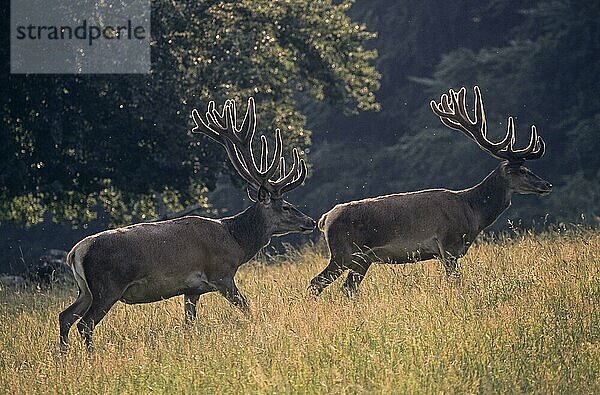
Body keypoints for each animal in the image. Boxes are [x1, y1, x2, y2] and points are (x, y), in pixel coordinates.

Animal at [58, 97, 316, 352]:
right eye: (286, 206)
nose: (311, 221)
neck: (236, 241)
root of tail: (75, 252)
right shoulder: (221, 274)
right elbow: (246, 307)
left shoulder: (192, 289)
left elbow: (189, 322)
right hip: (108, 286)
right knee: (85, 323)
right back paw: (89, 355)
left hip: (86, 290)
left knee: (65, 316)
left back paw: (64, 355)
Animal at [310, 87, 552, 296]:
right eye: (521, 170)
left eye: (530, 169)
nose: (546, 185)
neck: (472, 211)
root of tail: (325, 218)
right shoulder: (448, 244)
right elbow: (455, 282)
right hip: (344, 252)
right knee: (316, 282)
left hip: (362, 260)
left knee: (347, 289)